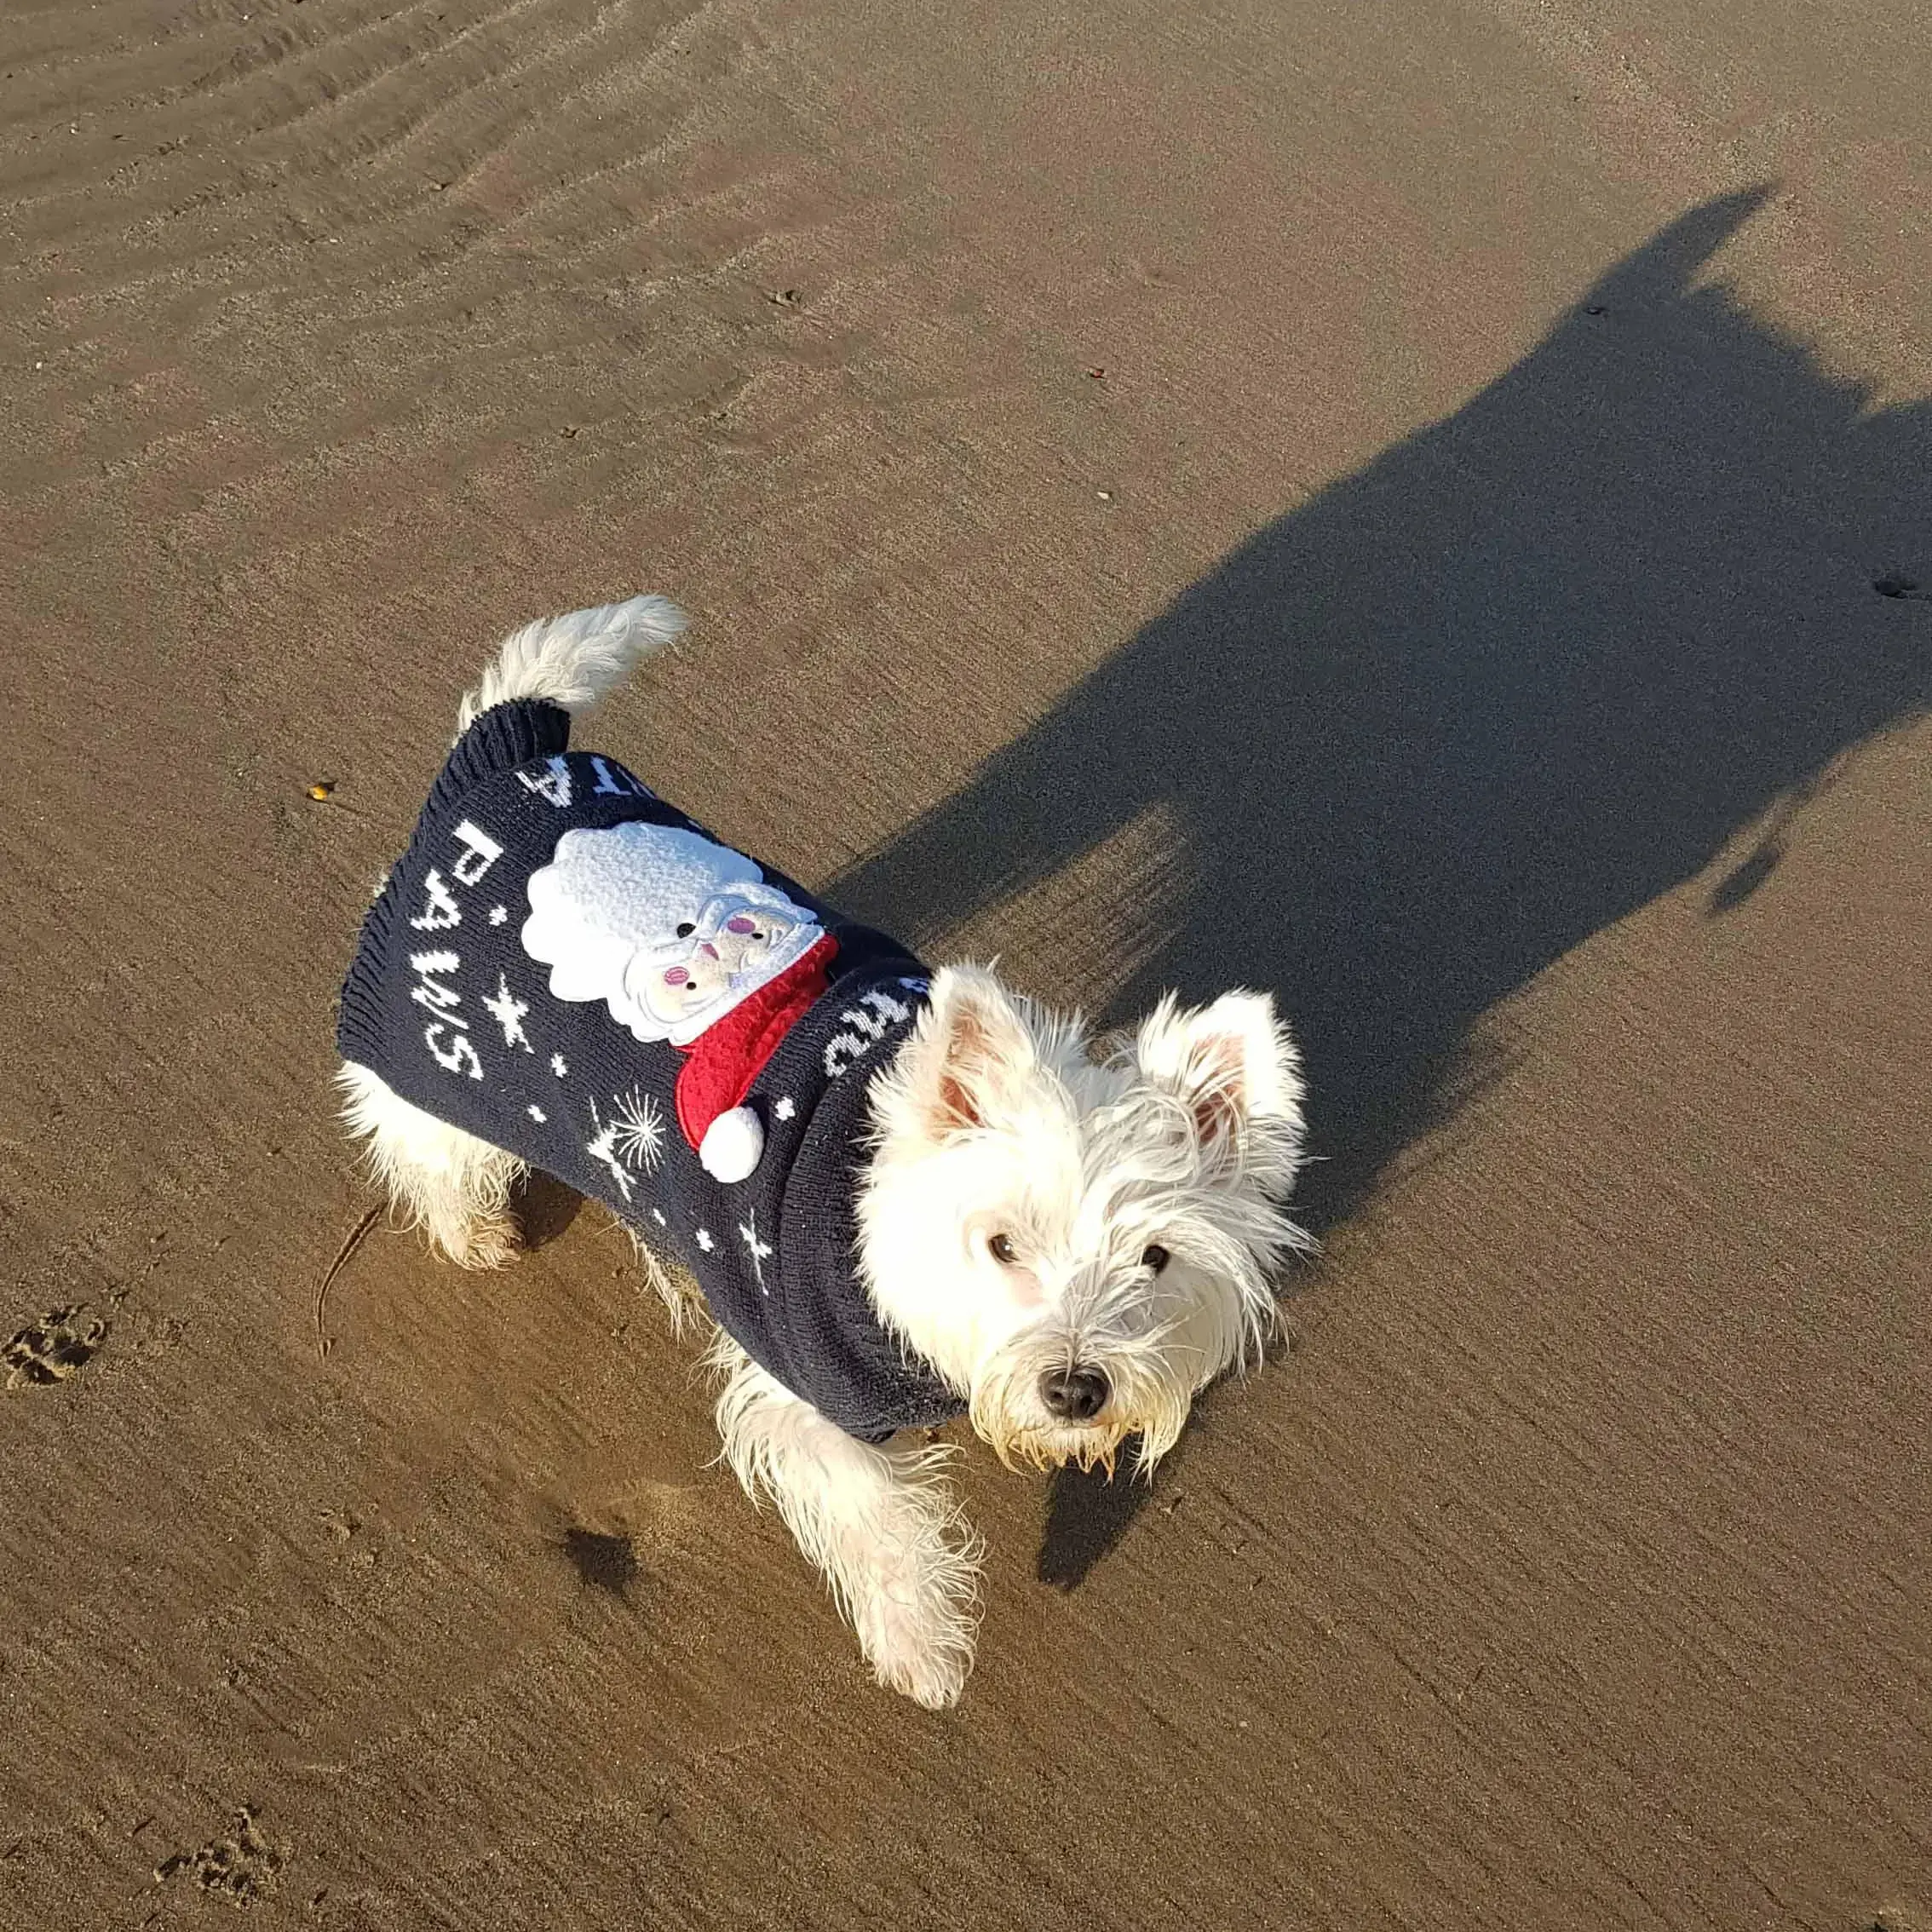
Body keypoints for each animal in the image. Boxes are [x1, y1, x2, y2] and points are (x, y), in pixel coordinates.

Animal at [343, 591, 1314, 1707]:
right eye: (1001, 1245)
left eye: (1155, 1259)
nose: (1077, 1391)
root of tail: (502, 753)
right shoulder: (804, 1390)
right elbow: (877, 1519)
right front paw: (923, 1646)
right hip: (430, 1058)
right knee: (421, 1142)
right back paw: (472, 1228)